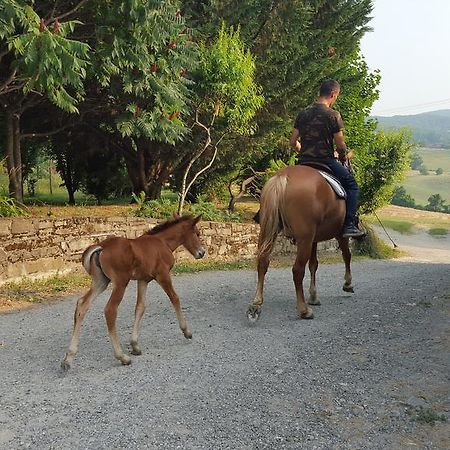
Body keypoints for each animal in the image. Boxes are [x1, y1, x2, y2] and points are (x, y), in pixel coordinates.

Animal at [61, 214, 204, 370]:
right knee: (110, 310)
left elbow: (140, 307)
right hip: (121, 282)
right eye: (197, 233)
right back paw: (122, 357)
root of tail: (101, 247)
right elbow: (175, 298)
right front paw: (186, 331)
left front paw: (135, 345)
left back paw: (68, 358)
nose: (202, 253)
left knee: (82, 304)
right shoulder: (162, 275)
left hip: (101, 282)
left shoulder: (143, 280)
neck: (163, 242)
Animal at [246, 167, 356, 322]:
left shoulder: (314, 240)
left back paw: (257, 301)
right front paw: (347, 283)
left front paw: (314, 296)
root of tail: (283, 176)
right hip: (304, 240)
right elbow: (347, 255)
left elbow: (314, 265)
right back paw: (304, 310)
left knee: (263, 262)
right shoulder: (340, 235)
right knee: (297, 270)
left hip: (270, 231)